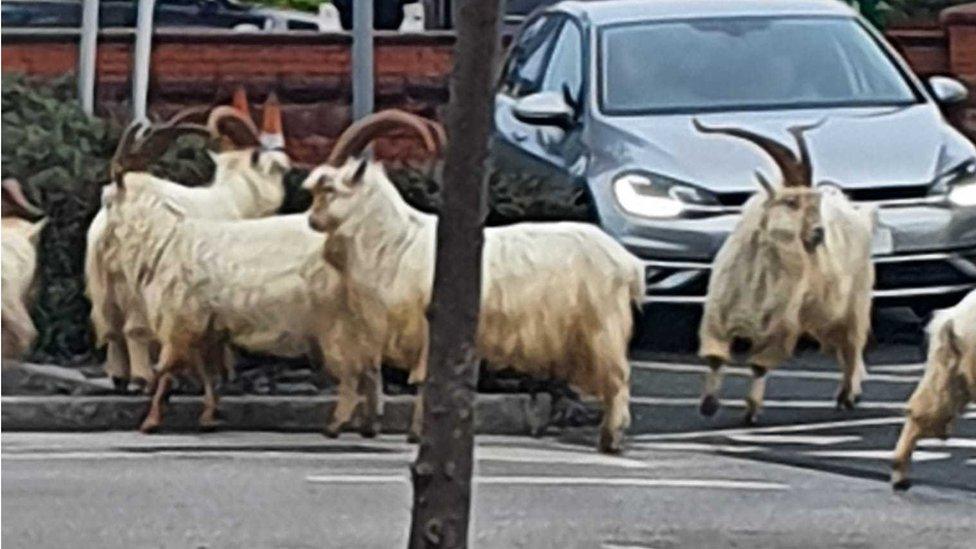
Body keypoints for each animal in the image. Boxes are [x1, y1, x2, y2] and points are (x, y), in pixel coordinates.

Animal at [302, 111, 644, 454]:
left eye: (329, 188)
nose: (311, 221)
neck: (397, 241)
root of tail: (628, 263)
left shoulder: (428, 330)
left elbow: (425, 379)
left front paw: (416, 434)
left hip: (603, 328)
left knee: (618, 378)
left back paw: (612, 439)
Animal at [692, 122, 876, 426]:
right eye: (791, 202)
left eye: (815, 203)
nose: (818, 234)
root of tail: (857, 214)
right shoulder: (717, 317)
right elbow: (716, 358)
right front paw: (708, 404)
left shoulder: (780, 325)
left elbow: (759, 365)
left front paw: (752, 410)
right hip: (822, 316)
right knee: (838, 346)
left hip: (855, 303)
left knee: (852, 347)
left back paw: (847, 395)